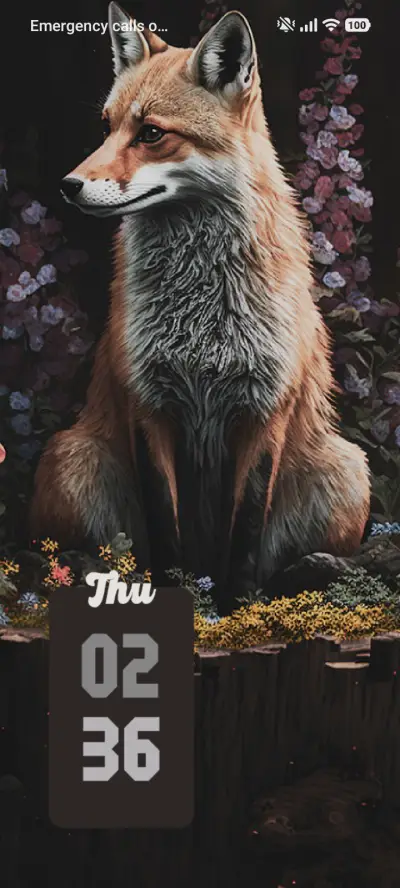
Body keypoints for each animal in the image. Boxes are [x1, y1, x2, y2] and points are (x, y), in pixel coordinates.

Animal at [30, 4, 370, 612]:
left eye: (151, 133)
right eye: (107, 127)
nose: (68, 186)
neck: (201, 315)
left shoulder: (265, 409)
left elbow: (247, 530)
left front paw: (238, 609)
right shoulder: (148, 403)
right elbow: (165, 529)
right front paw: (179, 597)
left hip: (347, 468)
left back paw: (309, 573)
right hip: (70, 457)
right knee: (72, 551)